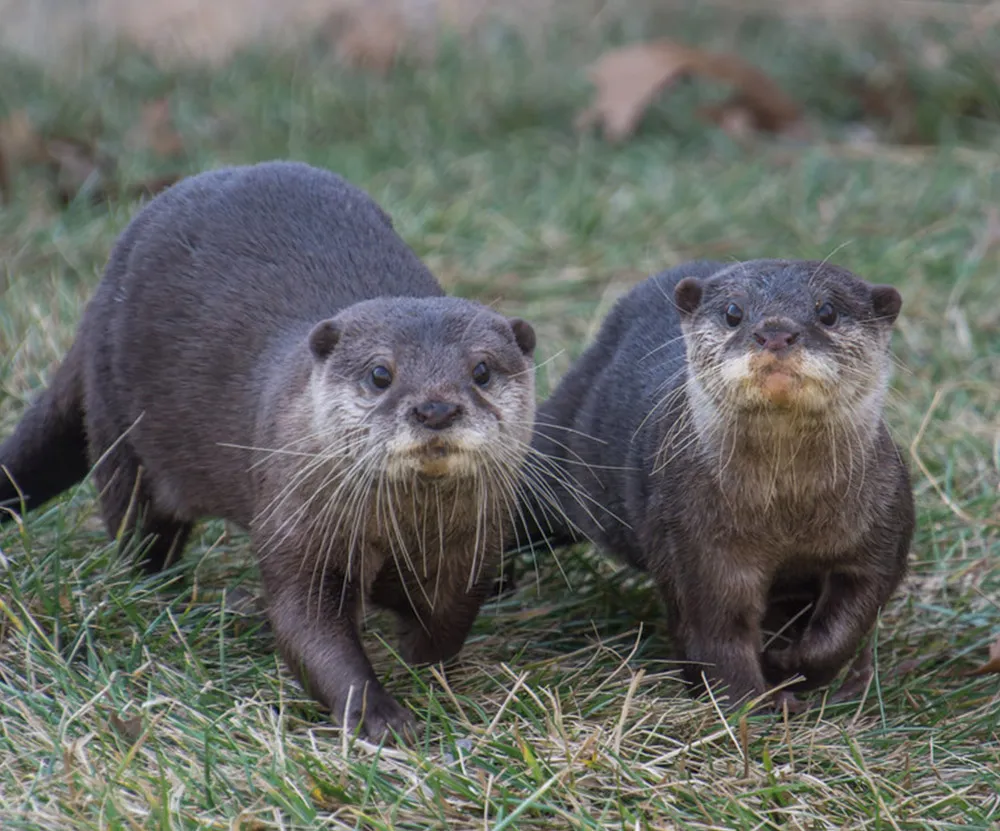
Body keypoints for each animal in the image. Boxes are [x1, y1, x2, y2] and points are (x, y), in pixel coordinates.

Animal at [0, 161, 538, 740]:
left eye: (481, 370)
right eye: (380, 373)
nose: (435, 409)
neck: (405, 529)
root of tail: (101, 296)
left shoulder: (474, 543)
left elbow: (449, 620)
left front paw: (422, 663)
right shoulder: (297, 526)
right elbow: (306, 627)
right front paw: (379, 715)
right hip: (119, 428)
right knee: (138, 531)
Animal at [527, 259, 914, 708]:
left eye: (828, 311)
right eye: (733, 312)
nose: (775, 332)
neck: (787, 516)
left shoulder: (883, 524)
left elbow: (852, 616)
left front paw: (791, 666)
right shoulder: (696, 544)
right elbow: (715, 633)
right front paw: (746, 706)